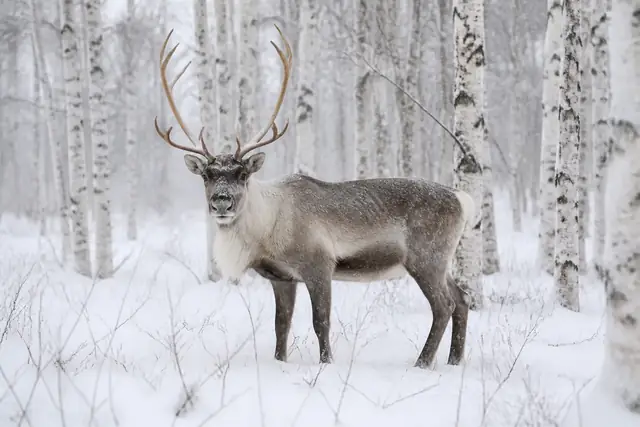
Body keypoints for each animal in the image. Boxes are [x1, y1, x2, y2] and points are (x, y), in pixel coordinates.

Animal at [153, 25, 474, 369]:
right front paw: (280, 362)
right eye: (207, 175)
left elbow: (321, 322)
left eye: (242, 173)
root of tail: (461, 198)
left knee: (443, 305)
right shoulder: (281, 277)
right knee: (462, 299)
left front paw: (326, 363)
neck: (265, 229)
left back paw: (422, 363)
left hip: (426, 258)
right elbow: (281, 325)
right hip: (442, 262)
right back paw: (454, 360)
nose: (221, 202)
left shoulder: (319, 266)